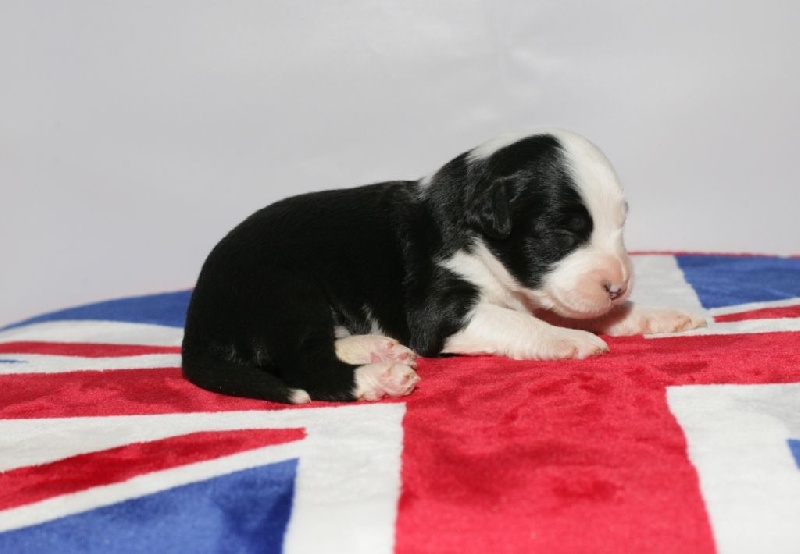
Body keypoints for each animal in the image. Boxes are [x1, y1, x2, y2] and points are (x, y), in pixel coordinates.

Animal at [182, 129, 706, 404]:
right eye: (563, 233)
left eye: (621, 225)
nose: (618, 285)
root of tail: (197, 323)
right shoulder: (437, 312)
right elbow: (520, 322)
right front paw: (569, 340)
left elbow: (574, 311)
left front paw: (652, 314)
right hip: (288, 292)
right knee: (304, 364)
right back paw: (377, 377)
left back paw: (375, 348)